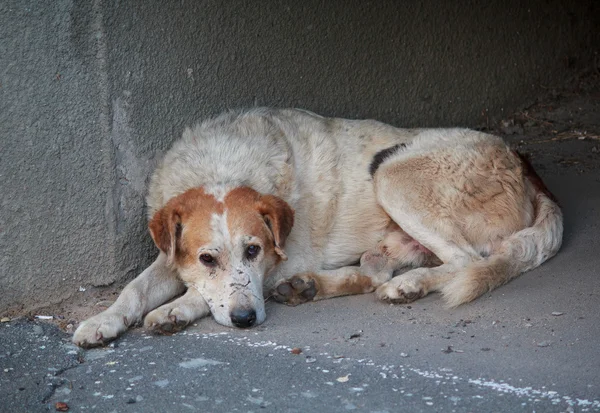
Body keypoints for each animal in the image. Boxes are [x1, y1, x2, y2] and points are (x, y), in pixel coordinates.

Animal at [71, 108, 564, 346]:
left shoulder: (282, 257)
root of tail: (525, 165)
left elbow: (206, 293)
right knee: (374, 273)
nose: (247, 322)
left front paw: (175, 311)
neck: (221, 165)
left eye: (254, 250)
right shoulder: (170, 256)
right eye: (207, 257)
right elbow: (135, 289)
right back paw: (309, 288)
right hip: (387, 232)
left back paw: (410, 285)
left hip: (392, 173)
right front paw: (102, 321)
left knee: (464, 261)